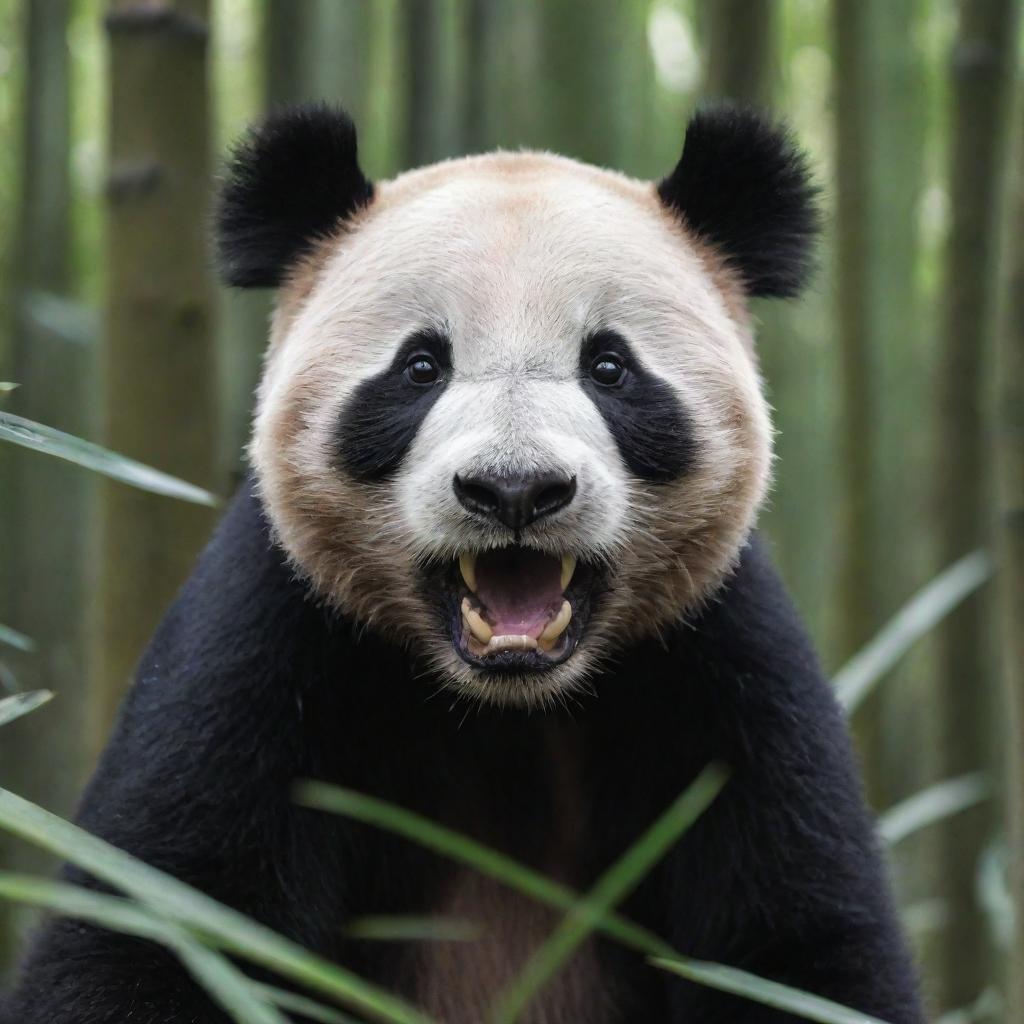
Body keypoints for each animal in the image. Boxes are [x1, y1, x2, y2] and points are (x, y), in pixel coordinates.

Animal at [4, 105, 925, 1024]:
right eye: (419, 367)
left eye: (610, 366)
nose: (514, 489)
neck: (505, 707)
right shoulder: (266, 637)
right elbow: (158, 920)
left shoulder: (724, 666)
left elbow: (801, 943)